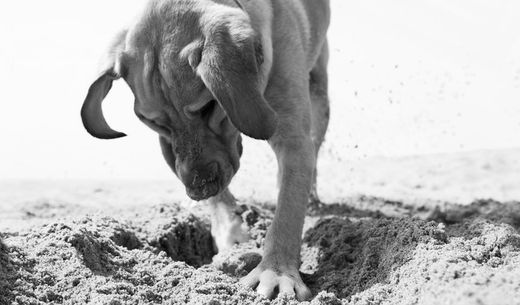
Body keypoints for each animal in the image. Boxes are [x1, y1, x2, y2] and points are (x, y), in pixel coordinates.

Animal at [83, 0, 332, 300]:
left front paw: (276, 271)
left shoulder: (293, 139)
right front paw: (229, 230)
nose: (199, 190)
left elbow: (287, 213)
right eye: (152, 121)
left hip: (319, 92)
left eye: (208, 106)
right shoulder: (177, 153)